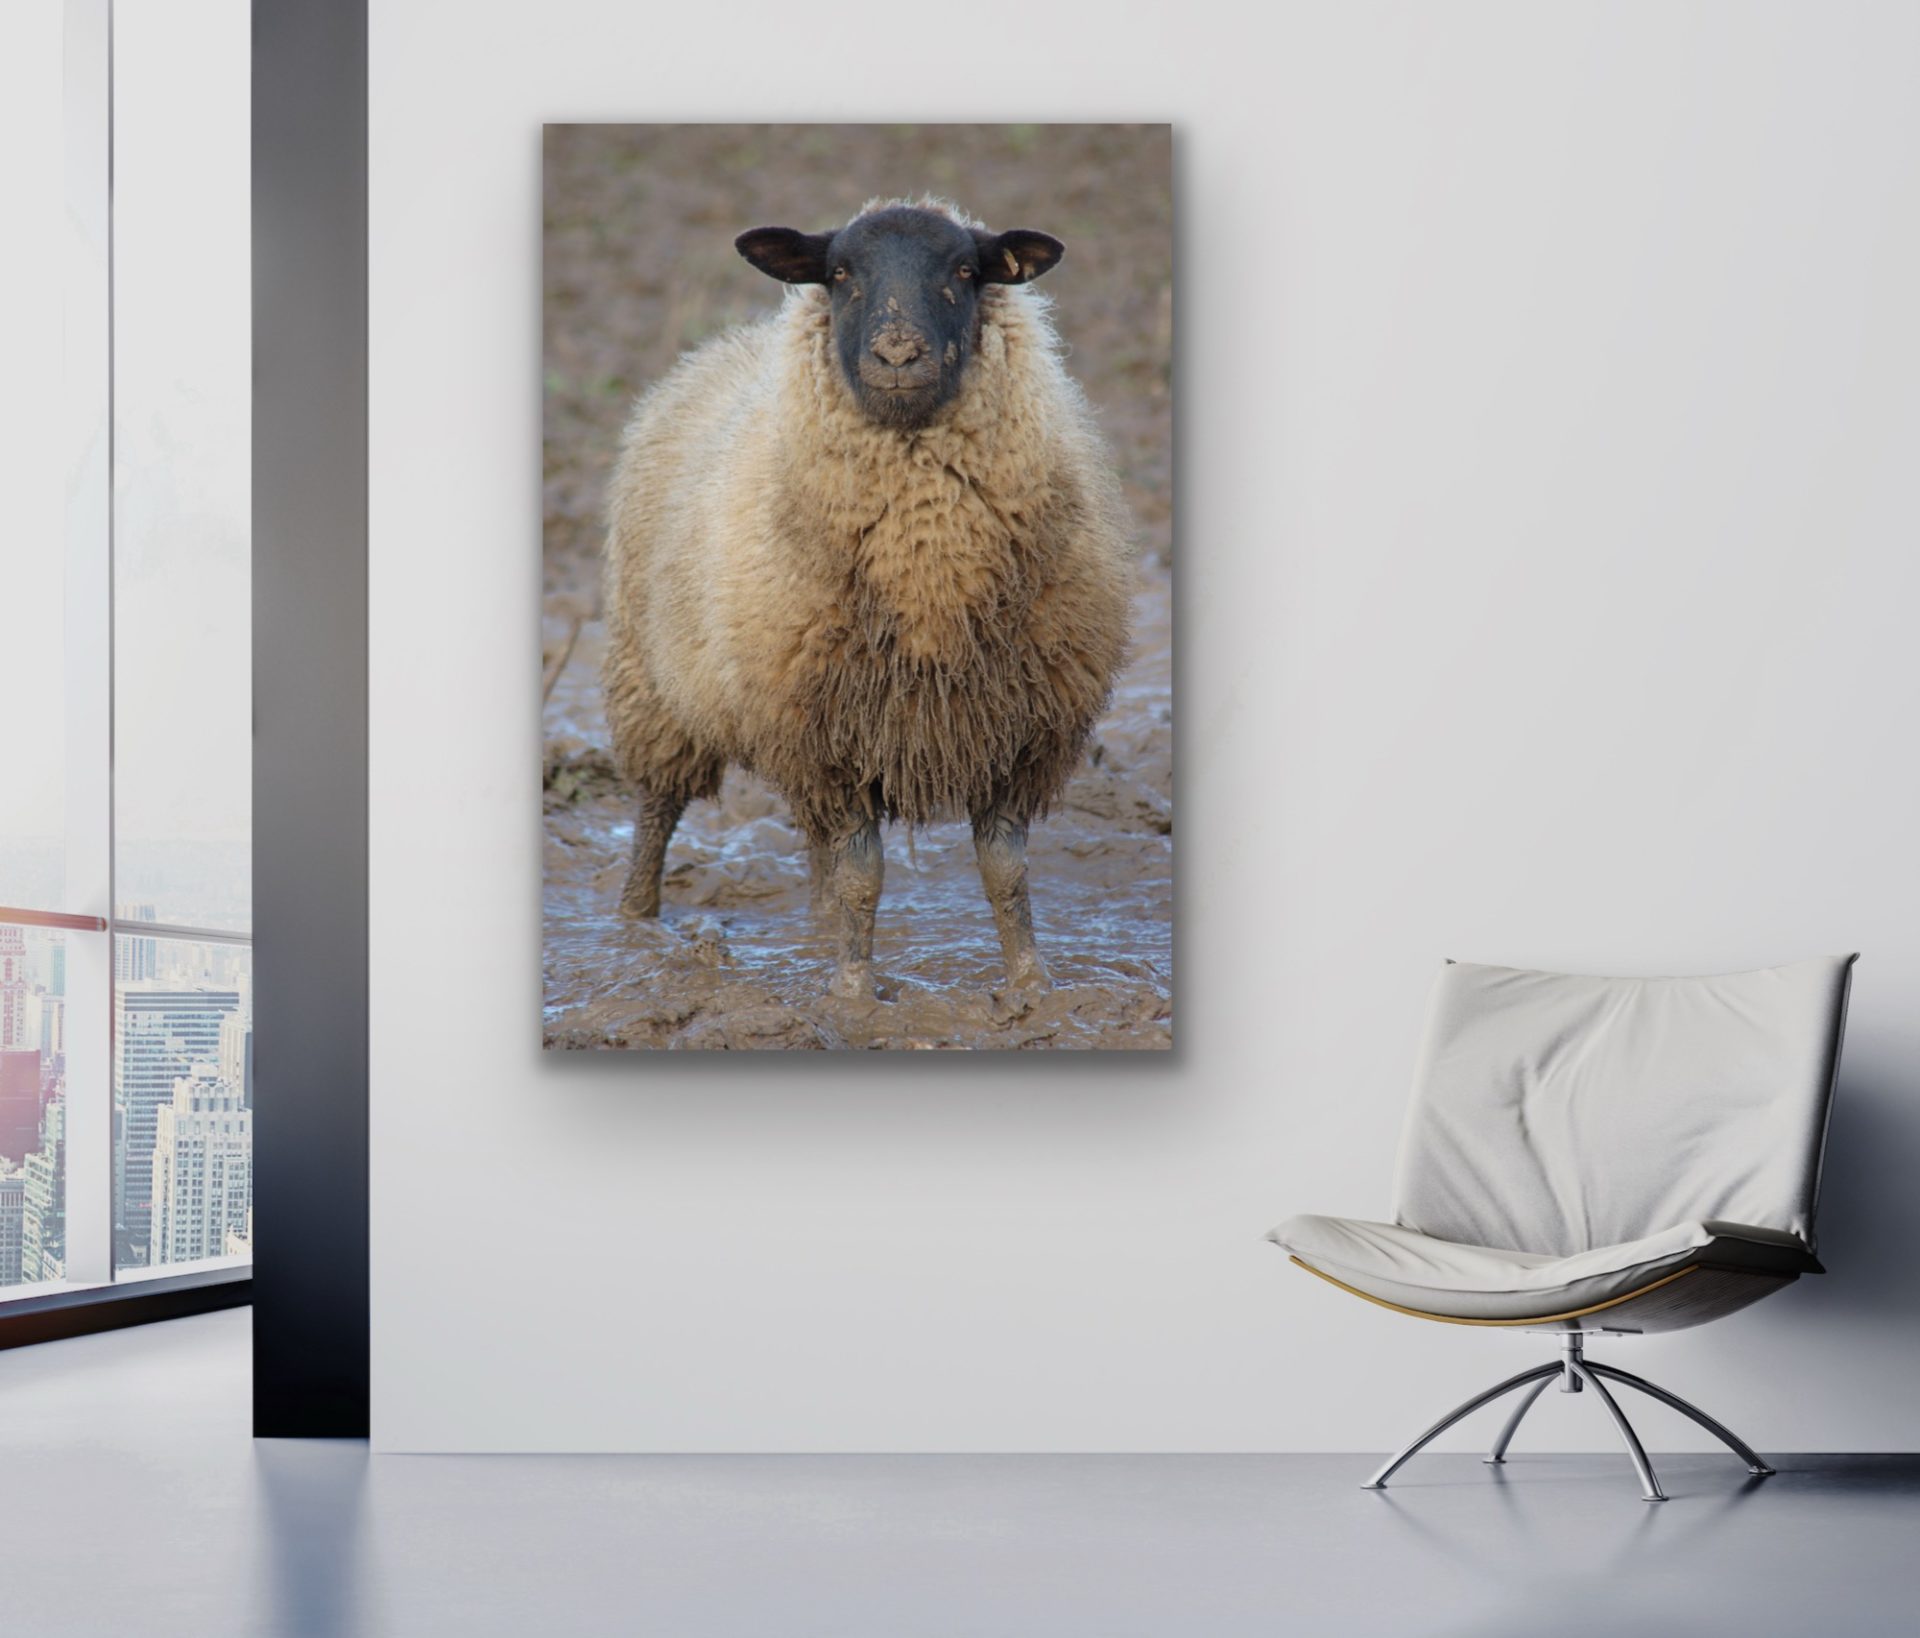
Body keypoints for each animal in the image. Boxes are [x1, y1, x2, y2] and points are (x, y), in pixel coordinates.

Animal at [601, 197, 1135, 999]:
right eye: (841, 273)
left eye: (966, 270)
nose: (897, 356)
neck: (926, 562)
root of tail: (721, 348)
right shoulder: (833, 740)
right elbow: (865, 875)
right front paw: (854, 993)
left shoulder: (1016, 731)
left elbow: (1004, 872)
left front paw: (1030, 986)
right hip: (655, 682)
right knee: (658, 808)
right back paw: (637, 923)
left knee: (816, 845)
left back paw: (815, 927)